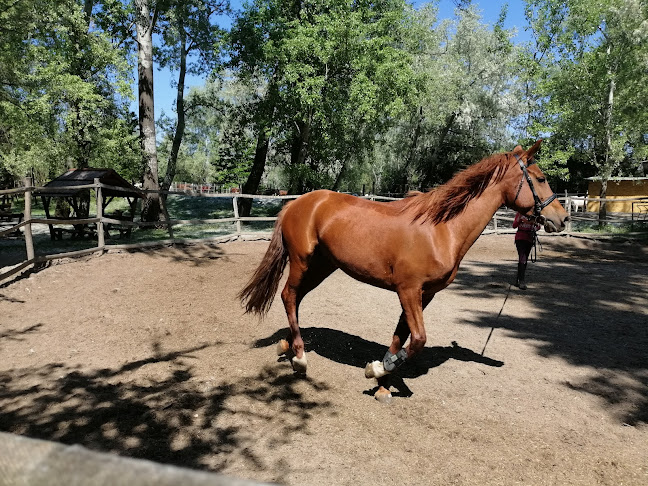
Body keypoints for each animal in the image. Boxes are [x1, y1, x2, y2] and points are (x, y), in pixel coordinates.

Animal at [238, 141, 568, 402]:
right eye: (540, 178)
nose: (562, 218)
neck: (442, 229)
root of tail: (298, 202)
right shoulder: (409, 290)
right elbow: (418, 340)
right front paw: (376, 369)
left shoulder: (424, 295)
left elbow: (400, 337)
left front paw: (383, 384)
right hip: (302, 261)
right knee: (288, 295)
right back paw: (300, 357)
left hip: (323, 266)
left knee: (296, 298)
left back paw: (287, 346)